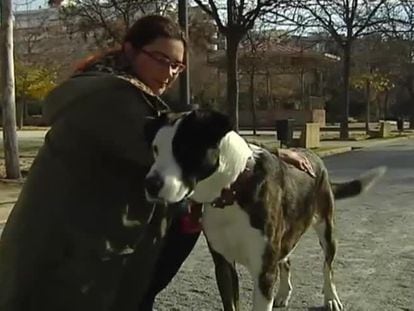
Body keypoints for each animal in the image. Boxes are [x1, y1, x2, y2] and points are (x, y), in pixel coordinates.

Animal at [144, 109, 386, 311]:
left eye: (184, 148)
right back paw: (284, 293)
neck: (233, 188)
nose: (150, 184)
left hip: (327, 229)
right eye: (155, 150)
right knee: (286, 260)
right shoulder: (224, 265)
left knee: (328, 267)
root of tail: (313, 156)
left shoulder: (264, 271)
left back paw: (331, 298)